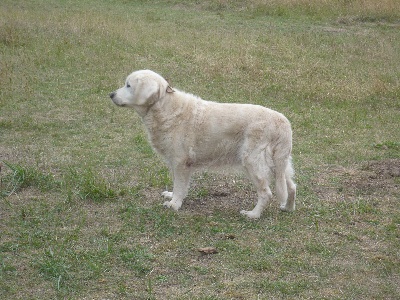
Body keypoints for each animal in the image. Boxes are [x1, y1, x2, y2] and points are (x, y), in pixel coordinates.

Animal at [108, 71, 296, 220]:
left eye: (128, 85)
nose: (110, 94)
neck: (164, 107)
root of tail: (282, 122)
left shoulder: (180, 162)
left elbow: (179, 185)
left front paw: (174, 204)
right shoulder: (178, 163)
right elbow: (178, 184)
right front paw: (172, 197)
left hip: (252, 162)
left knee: (266, 193)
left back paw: (253, 215)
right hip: (280, 164)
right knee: (291, 187)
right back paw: (287, 208)